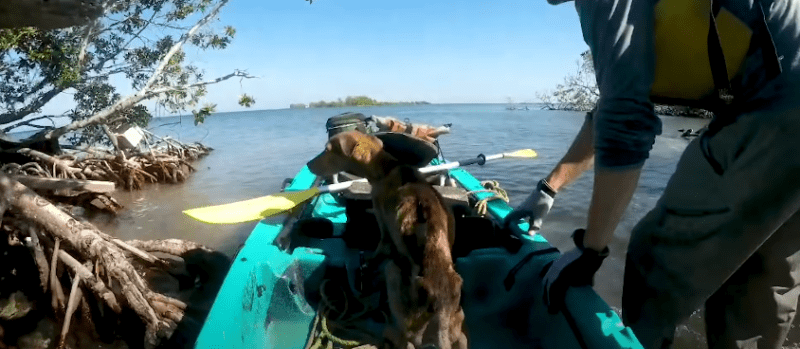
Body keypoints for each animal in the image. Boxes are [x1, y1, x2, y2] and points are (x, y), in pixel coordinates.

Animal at [306, 131, 468, 348]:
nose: (308, 164)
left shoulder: (382, 225)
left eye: (328, 150)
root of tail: (440, 311)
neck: (386, 168)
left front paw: (368, 263)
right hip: (459, 328)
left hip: (393, 274)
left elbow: (378, 249)